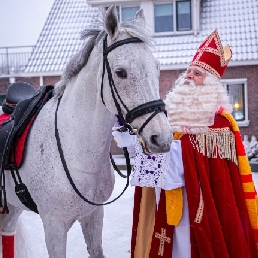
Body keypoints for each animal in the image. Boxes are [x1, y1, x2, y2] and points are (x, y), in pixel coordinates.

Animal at [2, 6, 172, 258]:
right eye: (121, 72)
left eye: (157, 68)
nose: (162, 137)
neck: (74, 150)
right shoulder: (54, 226)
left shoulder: (94, 216)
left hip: (12, 208)